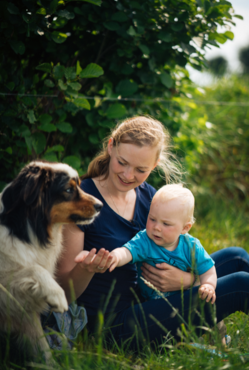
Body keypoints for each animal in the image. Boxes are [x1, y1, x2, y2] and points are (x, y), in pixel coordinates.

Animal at [0, 160, 102, 362]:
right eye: (68, 190)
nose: (101, 205)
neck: (25, 229)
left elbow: (41, 346)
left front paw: (49, 364)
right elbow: (34, 269)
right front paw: (57, 295)